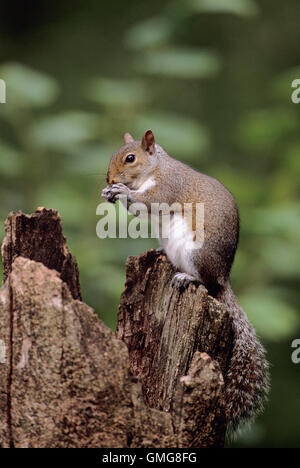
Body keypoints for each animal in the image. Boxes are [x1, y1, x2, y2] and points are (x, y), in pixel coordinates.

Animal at [102, 130, 270, 430]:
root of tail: (223, 277)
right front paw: (110, 193)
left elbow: (150, 202)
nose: (109, 179)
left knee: (206, 283)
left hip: (197, 254)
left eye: (130, 158)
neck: (155, 168)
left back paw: (187, 277)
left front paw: (122, 192)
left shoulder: (169, 186)